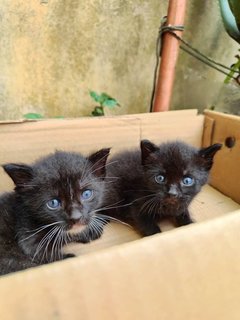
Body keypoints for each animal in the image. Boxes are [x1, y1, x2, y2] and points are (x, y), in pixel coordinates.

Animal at [0, 148, 110, 276]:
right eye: (53, 203)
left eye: (86, 194)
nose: (76, 217)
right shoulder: (27, 236)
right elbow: (44, 253)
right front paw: (69, 256)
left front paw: (91, 229)